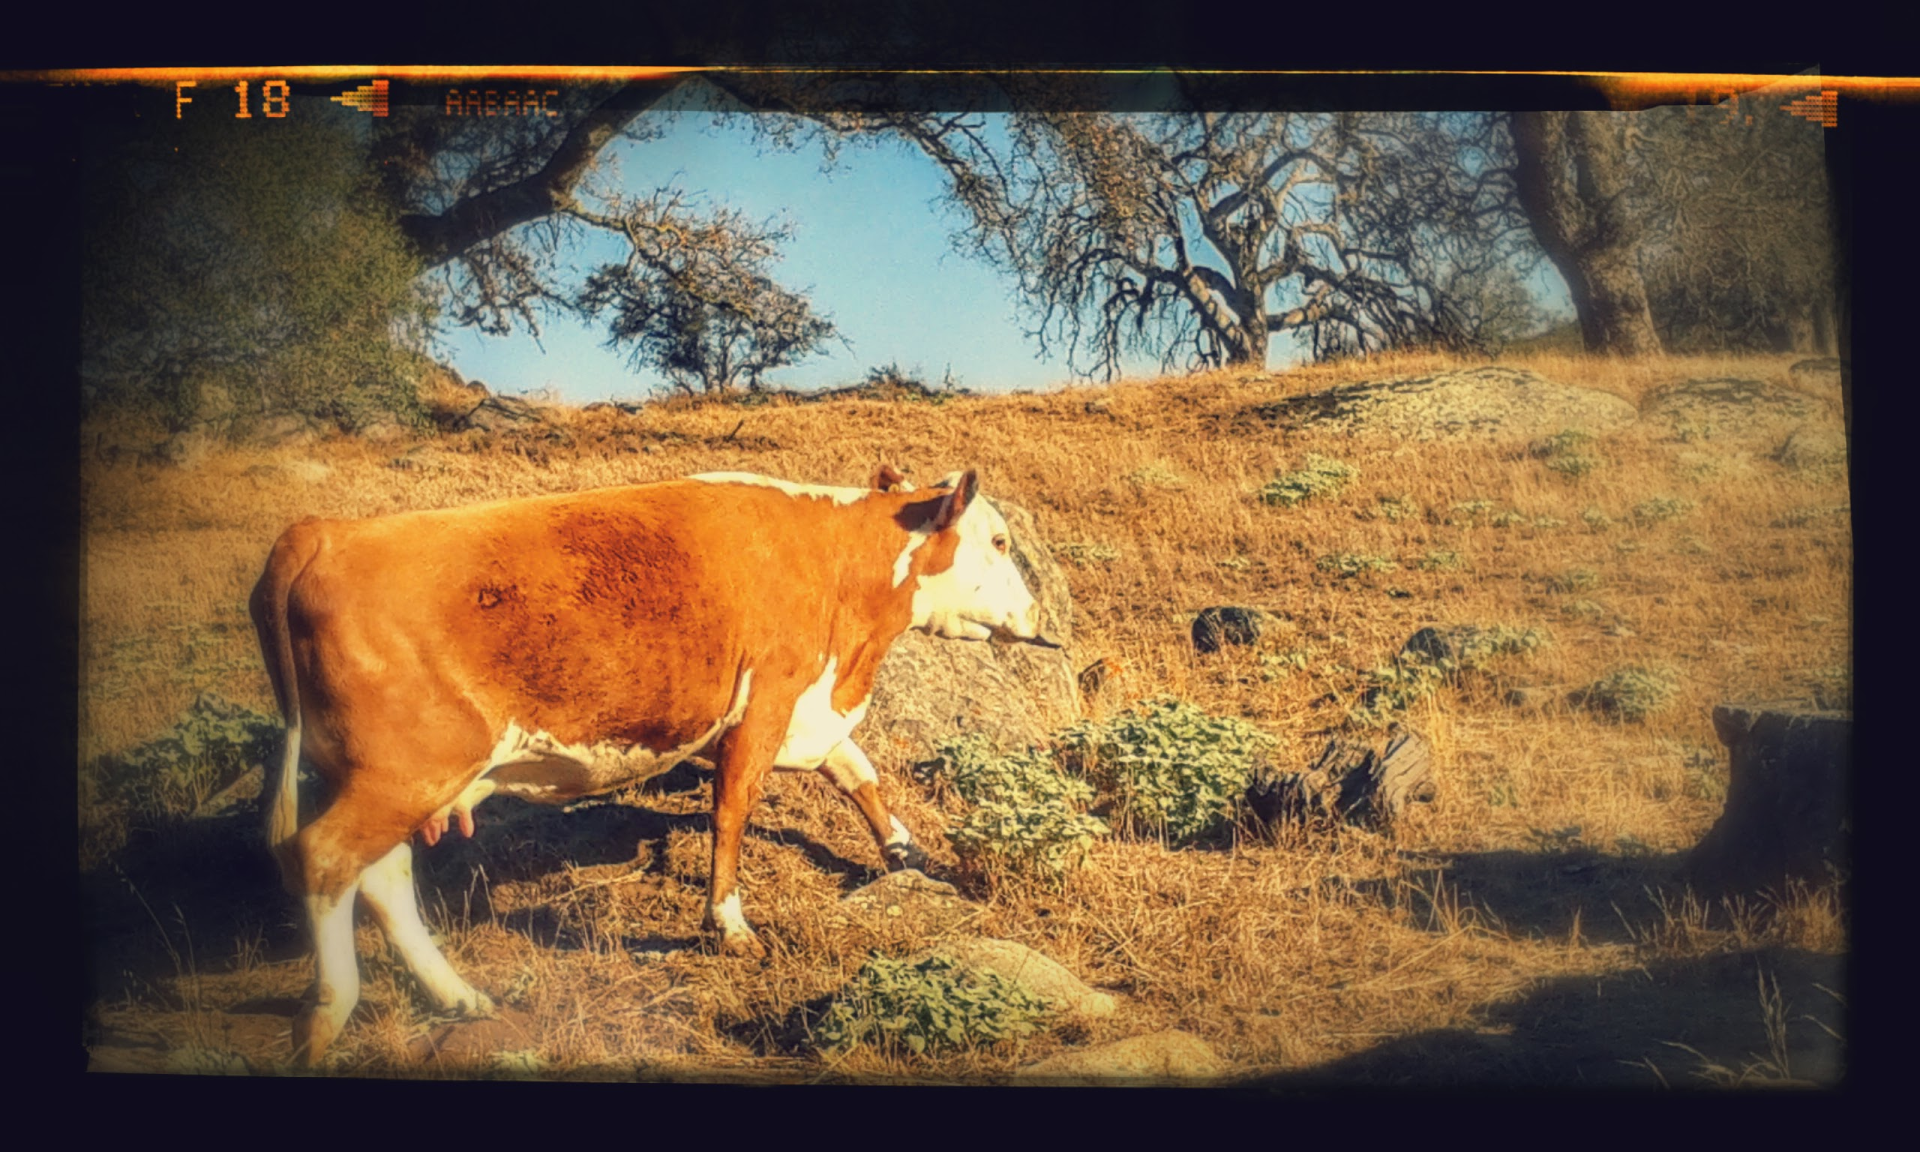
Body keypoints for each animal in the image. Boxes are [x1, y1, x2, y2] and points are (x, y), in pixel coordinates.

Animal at [248, 465, 1050, 1066]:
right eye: (1000, 540)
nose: (1040, 622)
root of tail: (324, 531)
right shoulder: (766, 703)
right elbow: (733, 811)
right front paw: (729, 925)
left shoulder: (809, 712)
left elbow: (858, 774)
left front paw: (906, 852)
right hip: (405, 772)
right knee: (325, 859)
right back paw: (329, 1015)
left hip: (398, 780)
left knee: (380, 875)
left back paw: (457, 996)